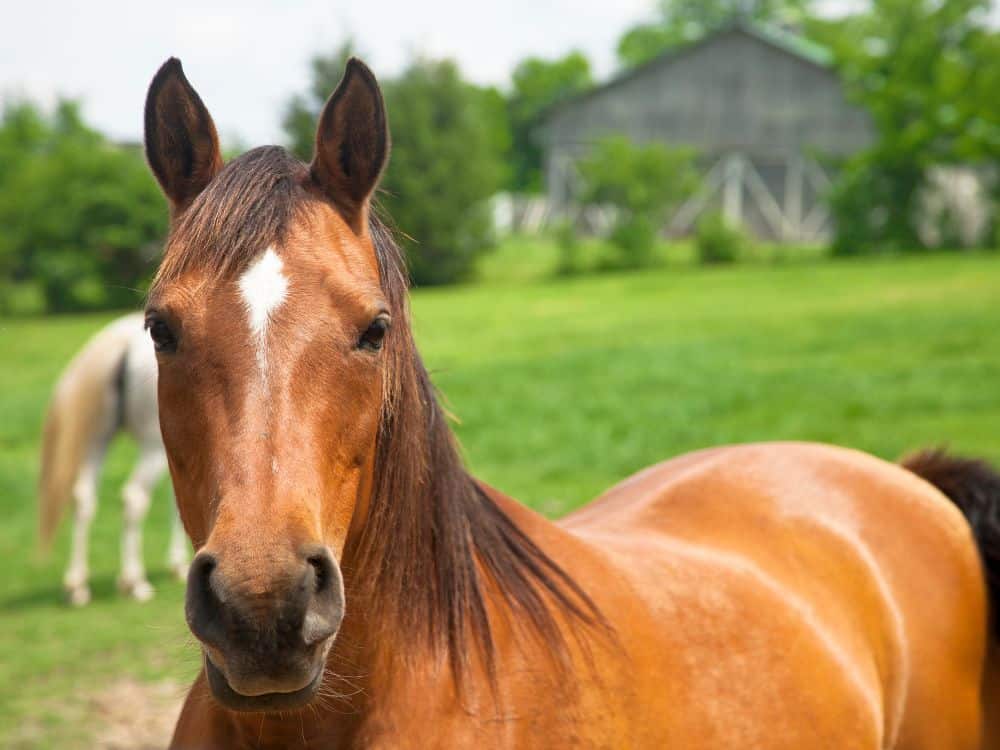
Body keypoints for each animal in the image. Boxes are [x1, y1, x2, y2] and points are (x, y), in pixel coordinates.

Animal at [36, 314, 189, 608]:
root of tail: (122, 342)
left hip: (98, 439)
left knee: (83, 498)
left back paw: (77, 586)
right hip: (152, 446)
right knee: (134, 498)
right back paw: (134, 582)